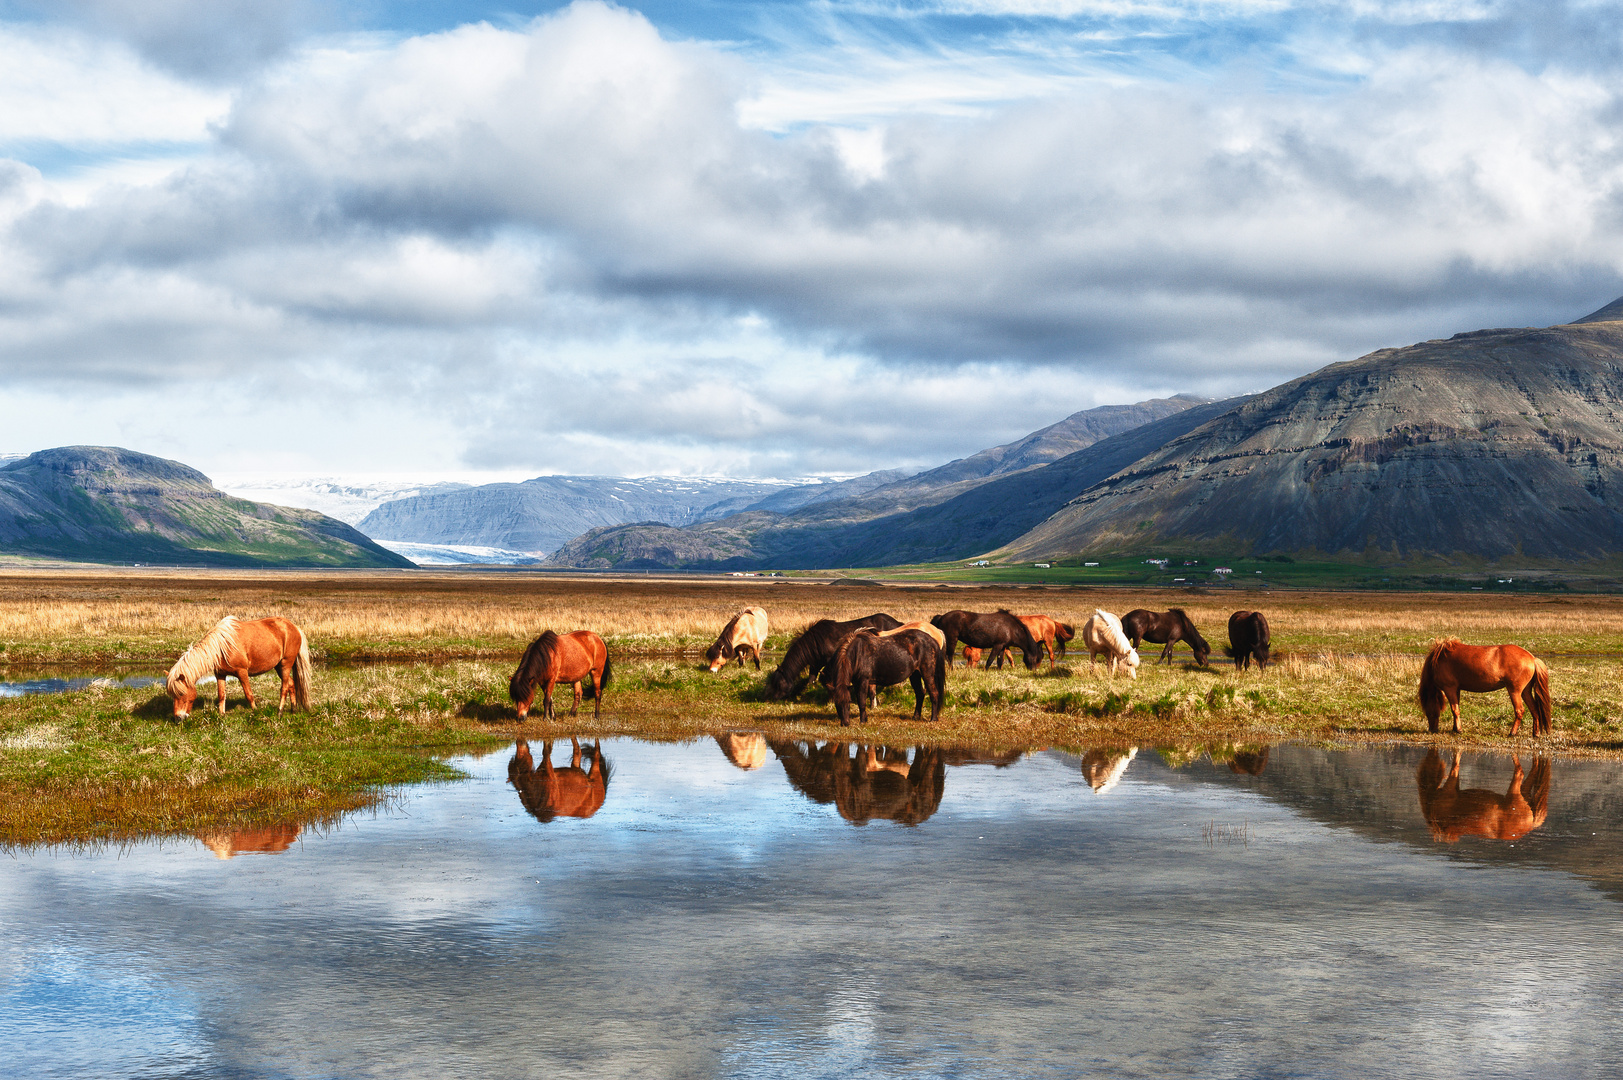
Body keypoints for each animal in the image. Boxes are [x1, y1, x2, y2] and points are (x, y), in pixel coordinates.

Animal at [166, 610, 311, 721]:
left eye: (181, 693)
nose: (178, 718)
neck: (222, 646)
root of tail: (295, 628)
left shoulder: (242, 672)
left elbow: (249, 694)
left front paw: (255, 712)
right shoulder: (220, 674)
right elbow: (221, 695)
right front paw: (221, 715)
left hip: (286, 664)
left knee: (284, 688)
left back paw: (280, 712)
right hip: (279, 666)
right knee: (291, 684)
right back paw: (293, 710)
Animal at [759, 613, 902, 698]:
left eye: (777, 683)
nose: (767, 698)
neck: (815, 642)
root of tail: (897, 623)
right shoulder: (815, 664)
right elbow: (811, 680)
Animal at [1415, 636, 1551, 737]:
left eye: (1427, 709)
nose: (1432, 729)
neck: (1440, 659)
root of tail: (1532, 658)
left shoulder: (1450, 688)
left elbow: (1455, 710)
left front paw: (1458, 730)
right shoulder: (1456, 689)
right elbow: (1456, 708)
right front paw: (1455, 728)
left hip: (1515, 691)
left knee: (1519, 710)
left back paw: (1512, 733)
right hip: (1525, 691)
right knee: (1534, 709)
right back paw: (1536, 733)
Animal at [1415, 750, 1551, 844]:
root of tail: (1531, 824)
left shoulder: (1451, 786)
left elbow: (1455, 764)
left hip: (1515, 792)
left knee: (1520, 772)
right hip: (1523, 793)